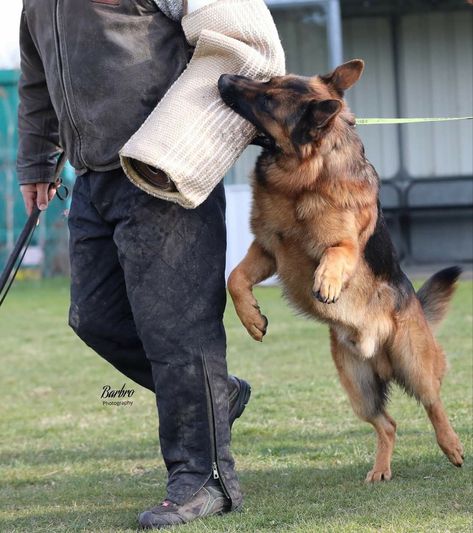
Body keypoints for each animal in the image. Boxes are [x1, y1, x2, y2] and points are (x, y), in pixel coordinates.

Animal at [219, 60, 462, 480]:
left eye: (267, 100)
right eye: (267, 81)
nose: (223, 78)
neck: (302, 178)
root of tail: (377, 352)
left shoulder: (342, 245)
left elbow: (336, 252)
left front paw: (327, 282)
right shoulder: (267, 250)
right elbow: (235, 278)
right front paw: (251, 319)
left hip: (415, 365)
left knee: (433, 403)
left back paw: (452, 446)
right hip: (358, 388)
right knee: (388, 424)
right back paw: (380, 470)